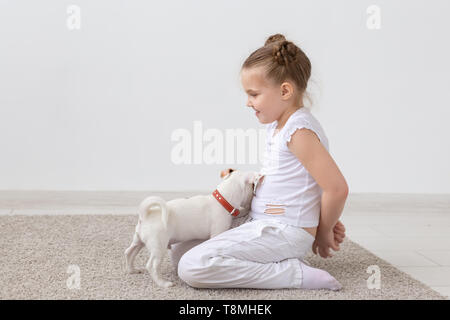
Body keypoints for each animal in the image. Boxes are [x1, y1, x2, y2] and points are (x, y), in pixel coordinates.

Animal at [124, 168, 264, 288]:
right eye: (253, 187)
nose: (254, 197)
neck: (222, 200)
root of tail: (146, 215)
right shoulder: (218, 231)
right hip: (158, 246)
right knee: (151, 266)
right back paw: (163, 283)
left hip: (139, 241)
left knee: (129, 252)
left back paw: (132, 270)